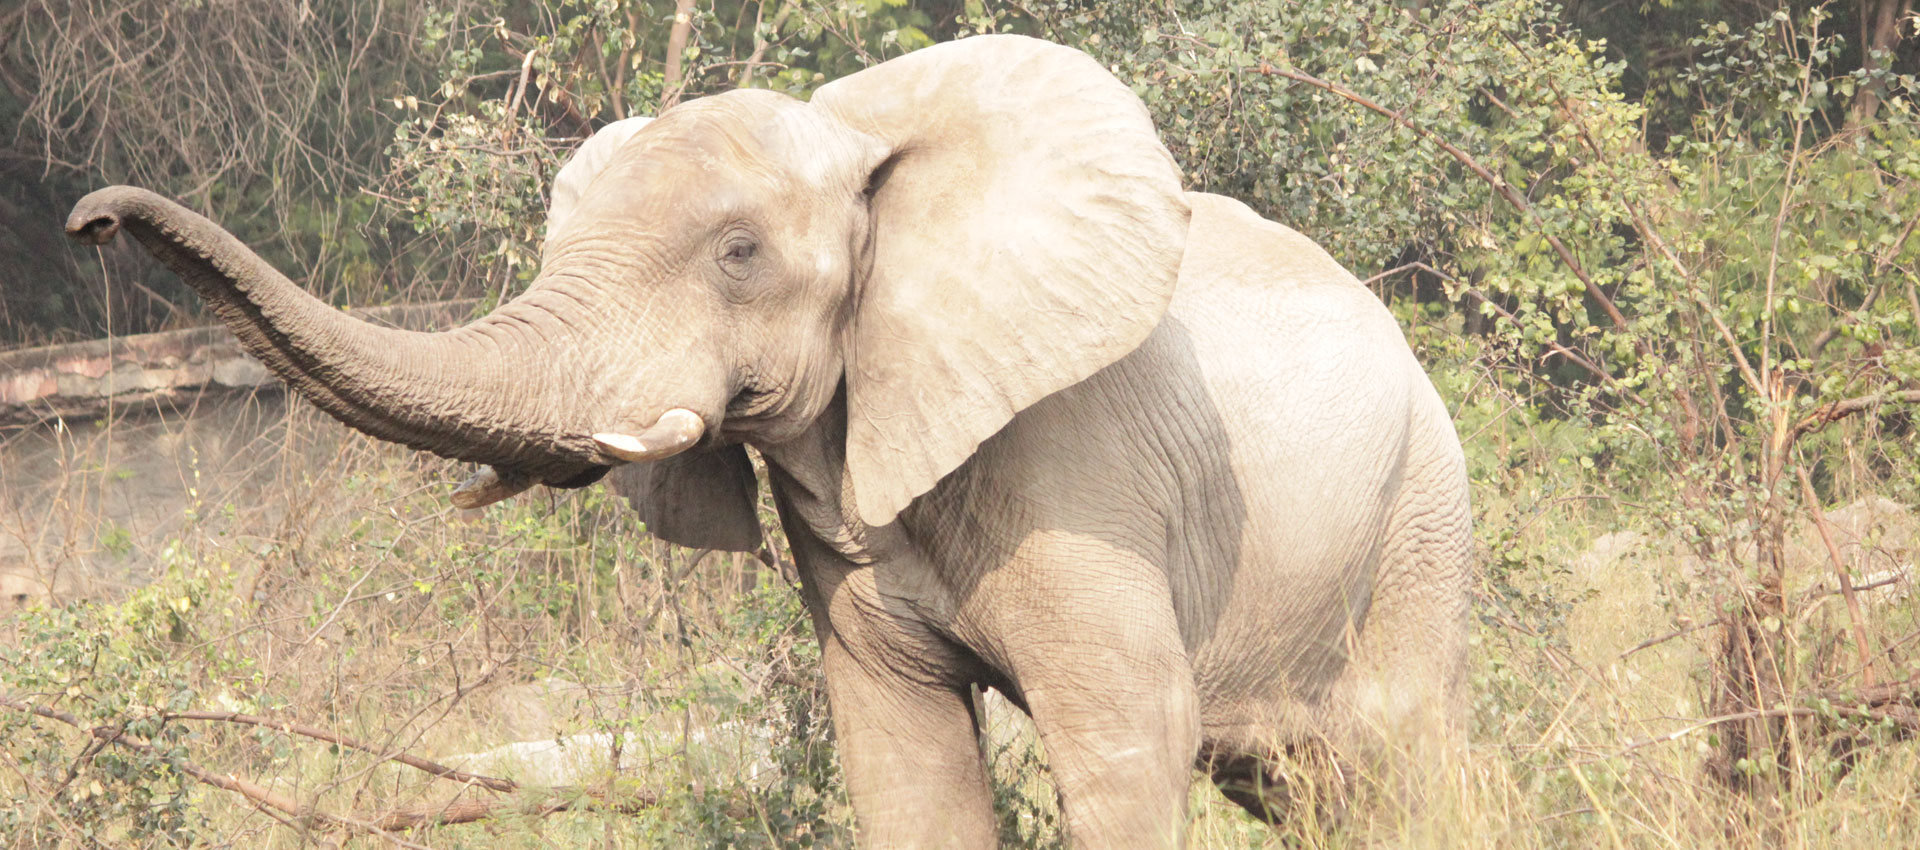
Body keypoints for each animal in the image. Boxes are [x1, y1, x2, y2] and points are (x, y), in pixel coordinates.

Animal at [64, 35, 1471, 849]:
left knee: (1393, 765)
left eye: (739, 254)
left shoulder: (1084, 464)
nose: (91, 219)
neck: (869, 148)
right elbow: (904, 758)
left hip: (1418, 519)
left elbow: (1126, 738)